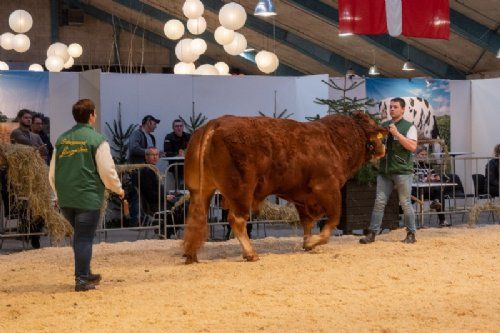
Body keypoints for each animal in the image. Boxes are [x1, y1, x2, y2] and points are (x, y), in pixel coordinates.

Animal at [183, 111, 386, 262]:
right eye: (376, 134)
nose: (383, 149)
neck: (335, 142)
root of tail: (216, 122)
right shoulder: (327, 187)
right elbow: (333, 219)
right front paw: (314, 242)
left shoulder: (303, 196)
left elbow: (307, 222)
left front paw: (307, 243)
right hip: (241, 190)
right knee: (236, 220)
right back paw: (251, 253)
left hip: (200, 189)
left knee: (195, 219)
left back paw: (191, 254)